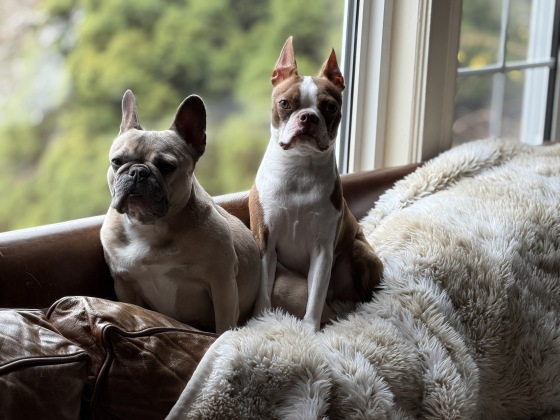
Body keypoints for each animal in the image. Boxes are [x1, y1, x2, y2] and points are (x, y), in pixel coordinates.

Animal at [100, 90, 261, 334]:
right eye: (117, 161)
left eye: (167, 166)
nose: (137, 172)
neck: (149, 226)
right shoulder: (124, 284)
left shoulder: (222, 284)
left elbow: (223, 325)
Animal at [248, 37, 383, 331]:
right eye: (285, 103)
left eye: (330, 107)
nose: (308, 117)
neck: (299, 168)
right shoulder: (266, 242)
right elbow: (263, 288)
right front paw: (260, 321)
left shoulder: (322, 251)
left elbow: (315, 297)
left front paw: (309, 330)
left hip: (359, 251)